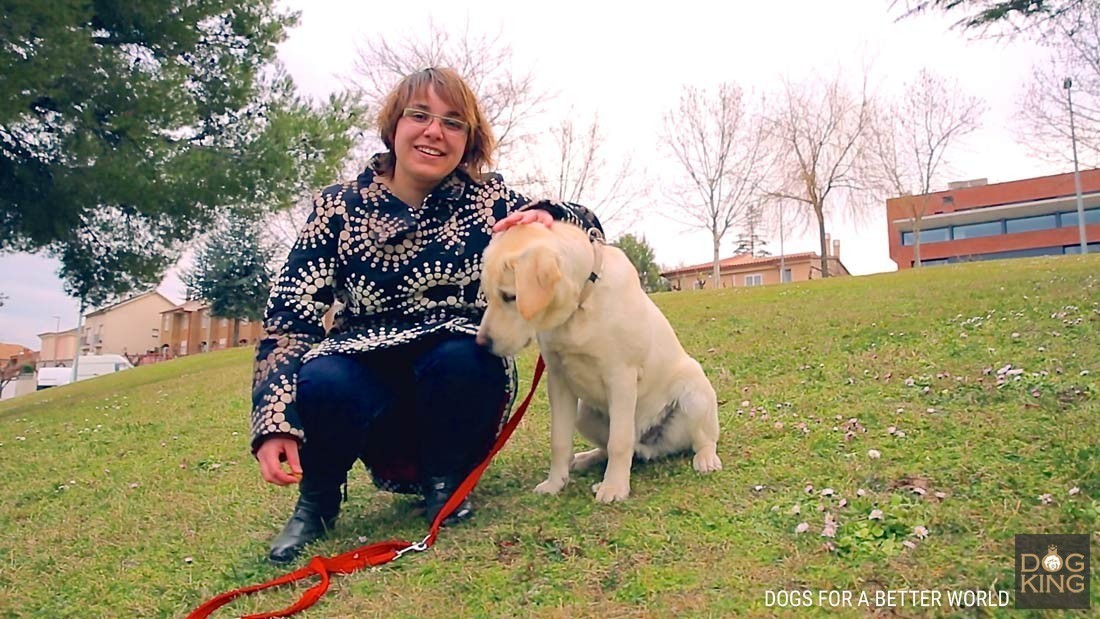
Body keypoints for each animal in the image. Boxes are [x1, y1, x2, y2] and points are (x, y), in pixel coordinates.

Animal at [475, 223, 721, 503]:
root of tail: (649, 447)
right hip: (584, 413)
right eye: (487, 296)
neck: (581, 305)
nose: (482, 343)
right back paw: (586, 458)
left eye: (509, 296)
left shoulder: (621, 377)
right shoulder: (558, 380)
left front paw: (614, 488)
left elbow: (619, 442)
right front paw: (555, 483)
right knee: (613, 449)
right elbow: (559, 440)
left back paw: (706, 459)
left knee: (701, 439)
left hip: (694, 389)